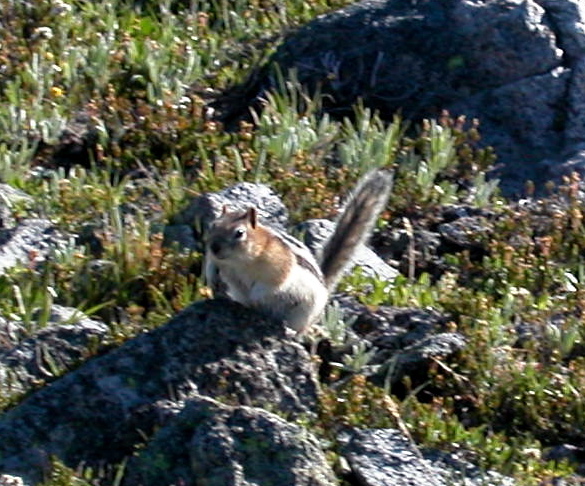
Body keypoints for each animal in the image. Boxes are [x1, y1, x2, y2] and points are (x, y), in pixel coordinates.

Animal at [205, 169, 392, 332]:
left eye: (239, 233)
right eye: (213, 225)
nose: (214, 247)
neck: (238, 261)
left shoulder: (278, 266)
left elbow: (273, 283)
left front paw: (256, 296)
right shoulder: (217, 260)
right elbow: (211, 265)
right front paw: (212, 278)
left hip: (303, 313)